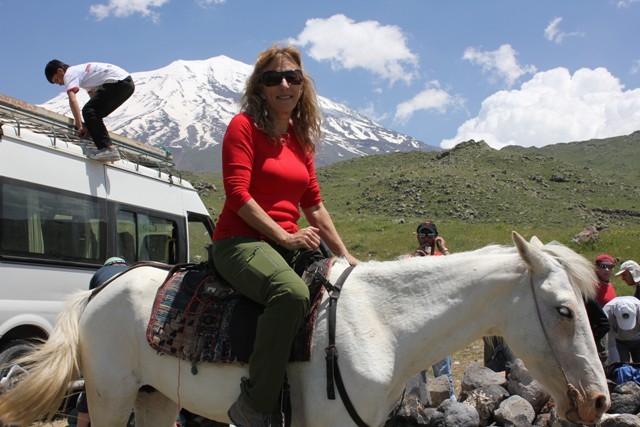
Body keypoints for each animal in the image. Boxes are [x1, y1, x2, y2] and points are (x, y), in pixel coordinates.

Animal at [0, 234, 608, 427]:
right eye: (563, 310)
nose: (598, 401)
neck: (382, 324)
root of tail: (99, 289)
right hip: (110, 397)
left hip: (155, 398)